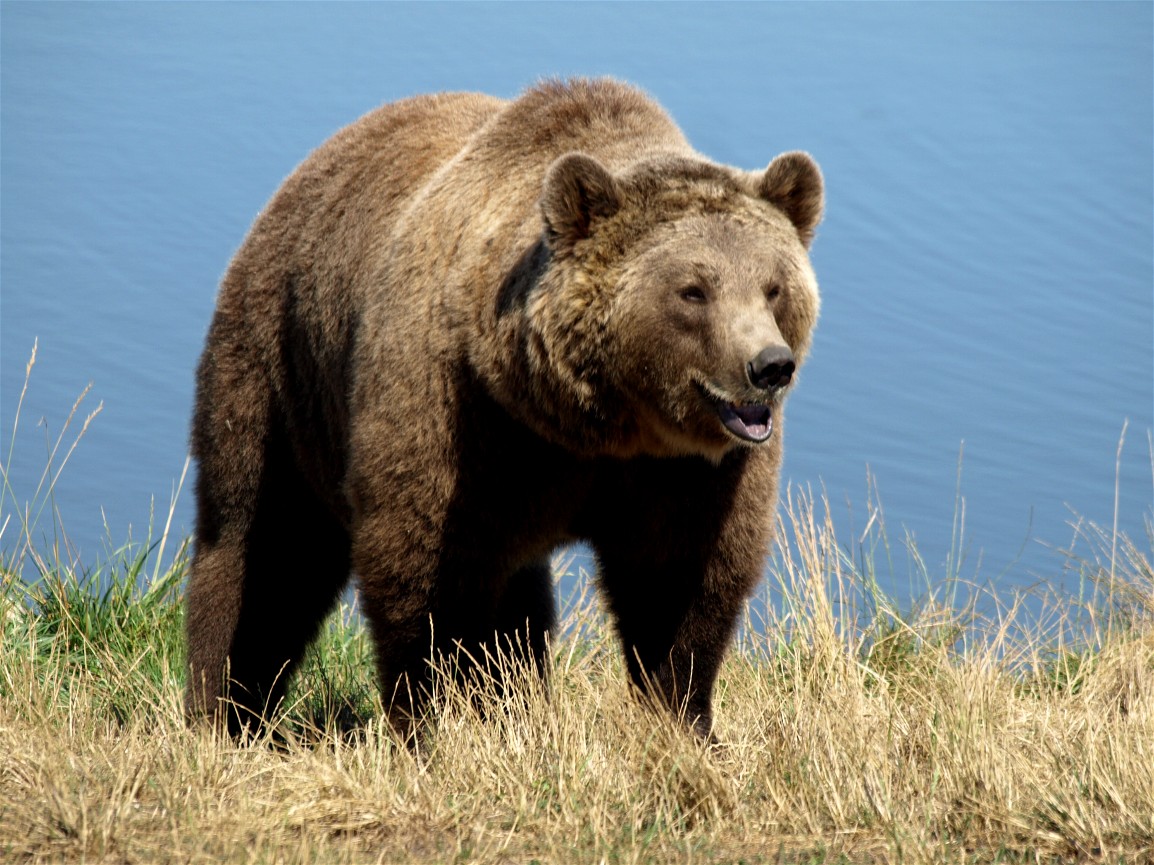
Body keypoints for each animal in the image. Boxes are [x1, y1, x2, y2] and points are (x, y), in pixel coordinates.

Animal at [185, 78, 822, 742]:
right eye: (693, 290)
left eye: (773, 286)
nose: (769, 366)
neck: (594, 423)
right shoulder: (464, 421)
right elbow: (424, 573)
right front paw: (432, 721)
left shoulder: (684, 472)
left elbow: (680, 576)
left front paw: (682, 718)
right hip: (279, 370)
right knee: (265, 543)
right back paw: (223, 710)